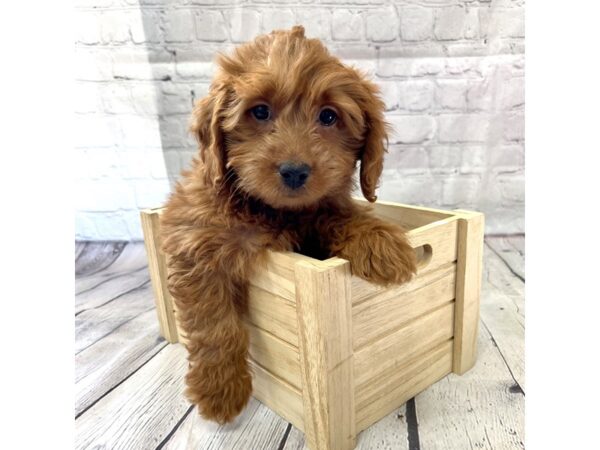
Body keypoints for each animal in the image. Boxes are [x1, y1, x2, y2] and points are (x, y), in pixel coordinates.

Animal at [162, 26, 420, 424]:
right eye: (260, 111)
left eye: (328, 117)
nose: (295, 171)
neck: (275, 211)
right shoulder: (194, 243)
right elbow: (213, 322)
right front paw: (220, 390)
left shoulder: (322, 210)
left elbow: (339, 215)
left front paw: (380, 244)